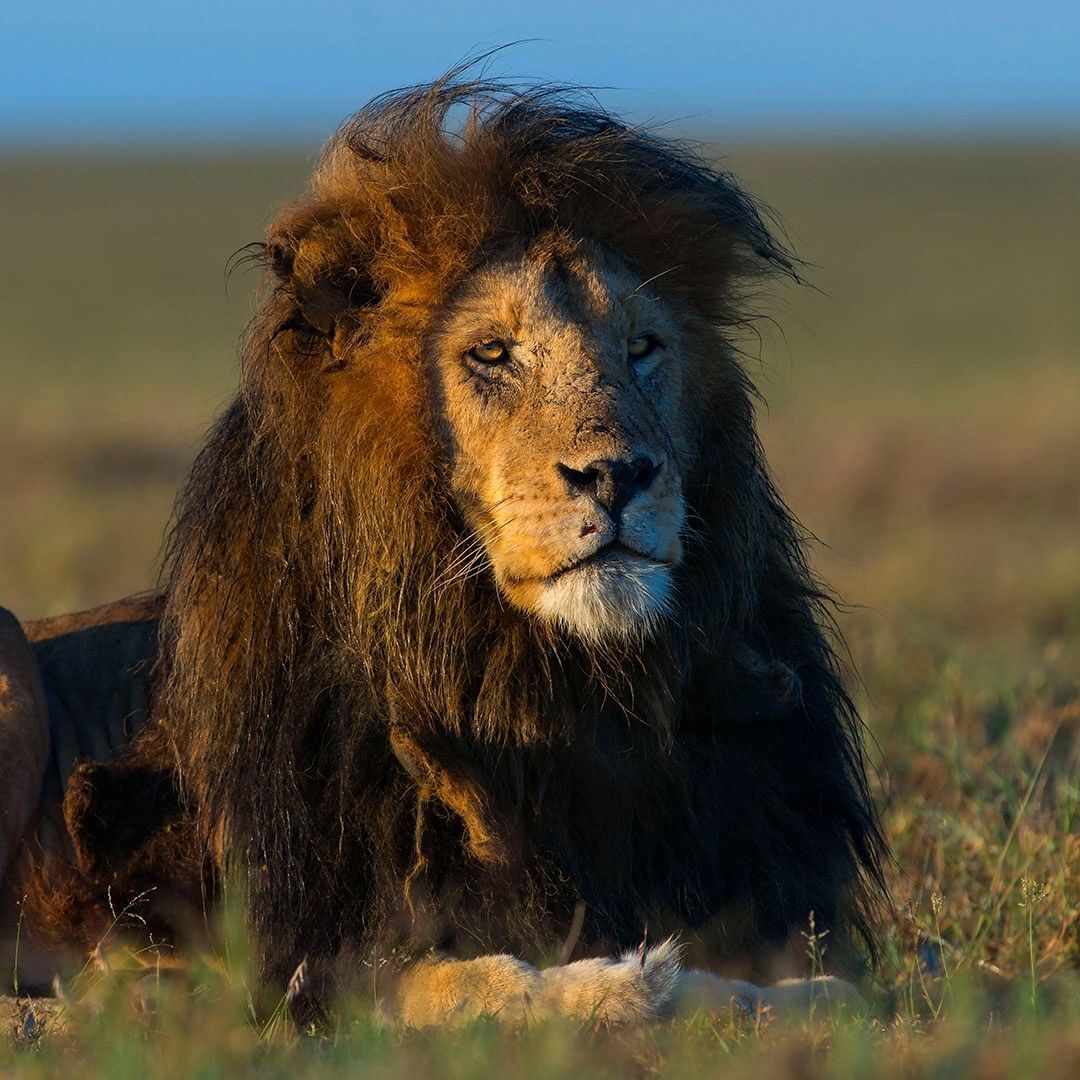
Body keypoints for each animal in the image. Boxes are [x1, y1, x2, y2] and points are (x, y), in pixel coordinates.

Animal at [0, 78, 885, 1028]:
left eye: (643, 348)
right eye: (492, 353)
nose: (618, 475)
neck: (553, 687)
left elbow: (812, 984)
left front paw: (778, 994)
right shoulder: (295, 964)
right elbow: (476, 979)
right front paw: (626, 986)